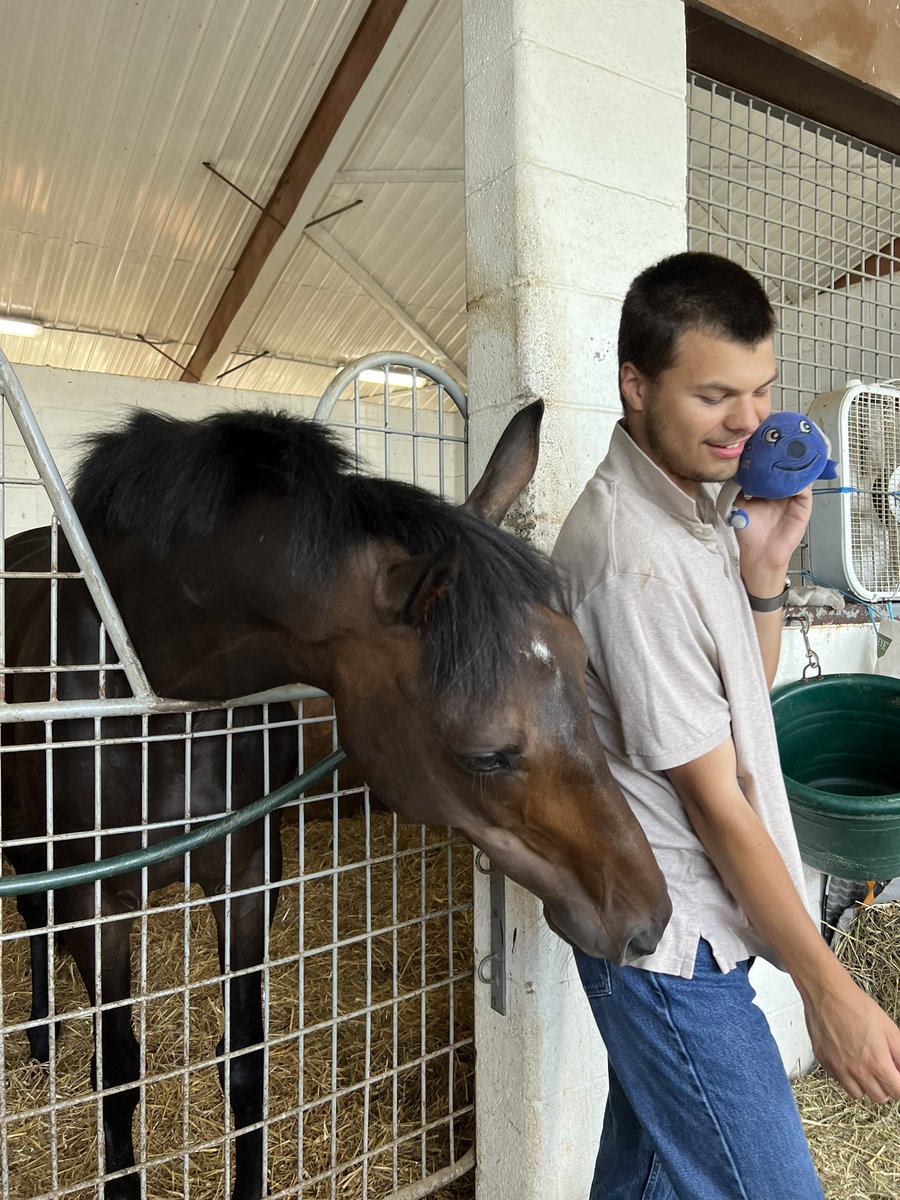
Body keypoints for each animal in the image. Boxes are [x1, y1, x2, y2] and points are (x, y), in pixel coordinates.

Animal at [0, 398, 672, 1195]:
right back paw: (42, 1035)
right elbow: (119, 1081)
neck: (149, 675)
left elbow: (246, 1065)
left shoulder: (248, 879)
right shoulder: (96, 902)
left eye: (583, 665)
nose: (648, 921)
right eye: (484, 755)